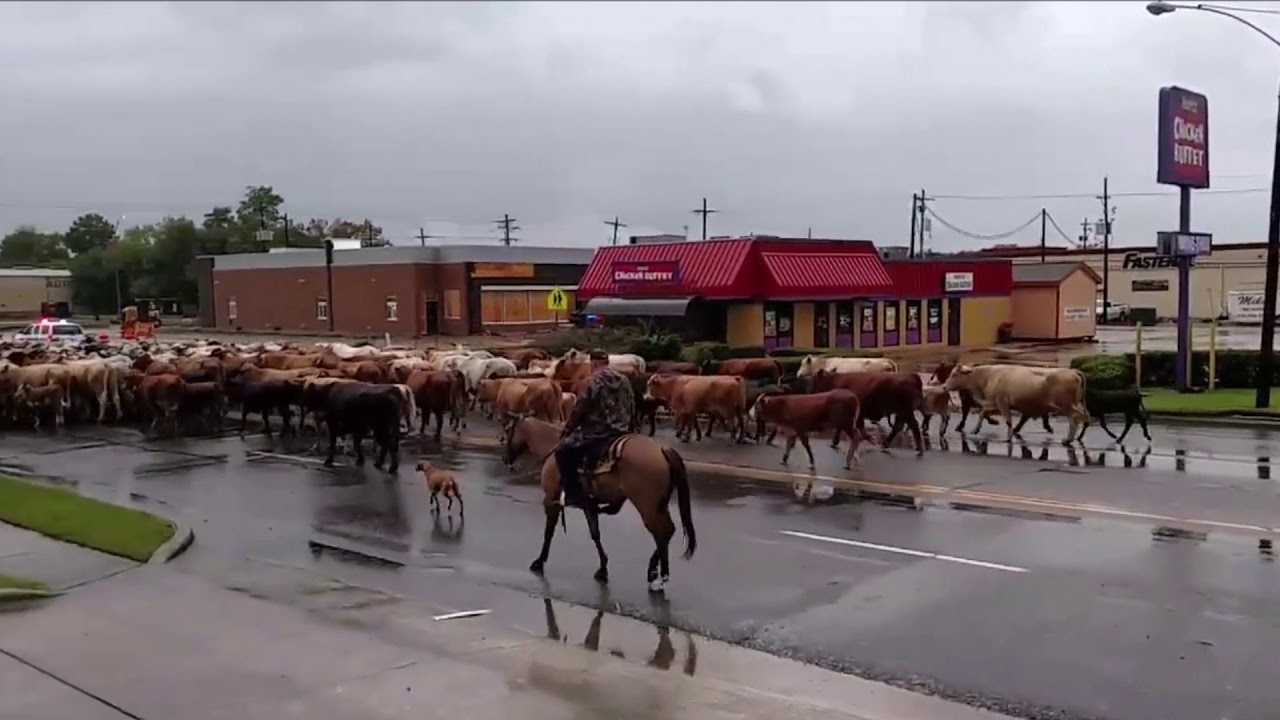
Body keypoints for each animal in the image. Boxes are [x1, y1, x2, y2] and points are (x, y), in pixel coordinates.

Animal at [944, 364, 1088, 443]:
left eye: (954, 374)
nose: (944, 386)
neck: (989, 376)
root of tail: (1072, 371)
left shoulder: (1002, 402)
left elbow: (1008, 420)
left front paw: (1008, 438)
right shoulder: (993, 402)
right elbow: (982, 412)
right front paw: (976, 429)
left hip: (1066, 405)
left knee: (1075, 418)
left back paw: (1068, 440)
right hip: (1076, 403)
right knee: (1084, 416)